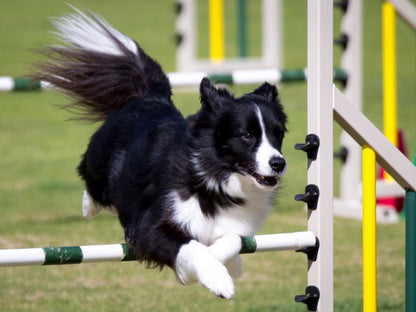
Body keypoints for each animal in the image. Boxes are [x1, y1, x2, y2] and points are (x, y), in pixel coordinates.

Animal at [36, 8, 286, 298]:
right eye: (247, 135)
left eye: (278, 134)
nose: (279, 163)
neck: (212, 177)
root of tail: (149, 96)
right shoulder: (148, 225)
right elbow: (191, 246)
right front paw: (217, 279)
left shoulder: (231, 225)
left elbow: (230, 240)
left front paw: (227, 266)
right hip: (100, 163)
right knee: (93, 181)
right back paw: (89, 206)